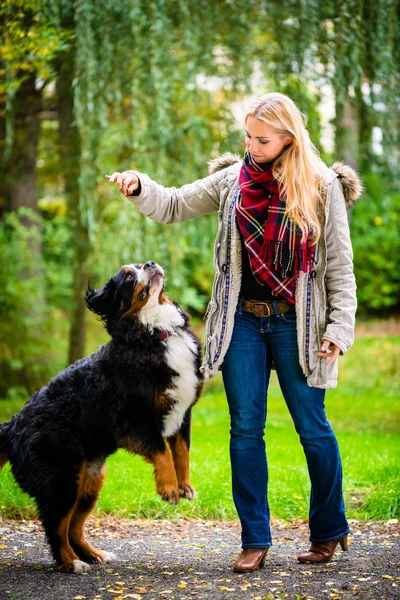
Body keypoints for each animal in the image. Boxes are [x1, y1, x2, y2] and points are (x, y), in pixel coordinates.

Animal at [0, 262, 203, 572]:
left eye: (141, 264)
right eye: (129, 276)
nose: (150, 264)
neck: (153, 333)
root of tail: (12, 427)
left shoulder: (182, 412)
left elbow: (181, 452)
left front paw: (186, 486)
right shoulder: (134, 421)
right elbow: (162, 452)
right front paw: (169, 489)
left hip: (89, 480)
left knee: (73, 527)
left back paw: (94, 555)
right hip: (62, 477)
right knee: (56, 527)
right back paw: (71, 563)